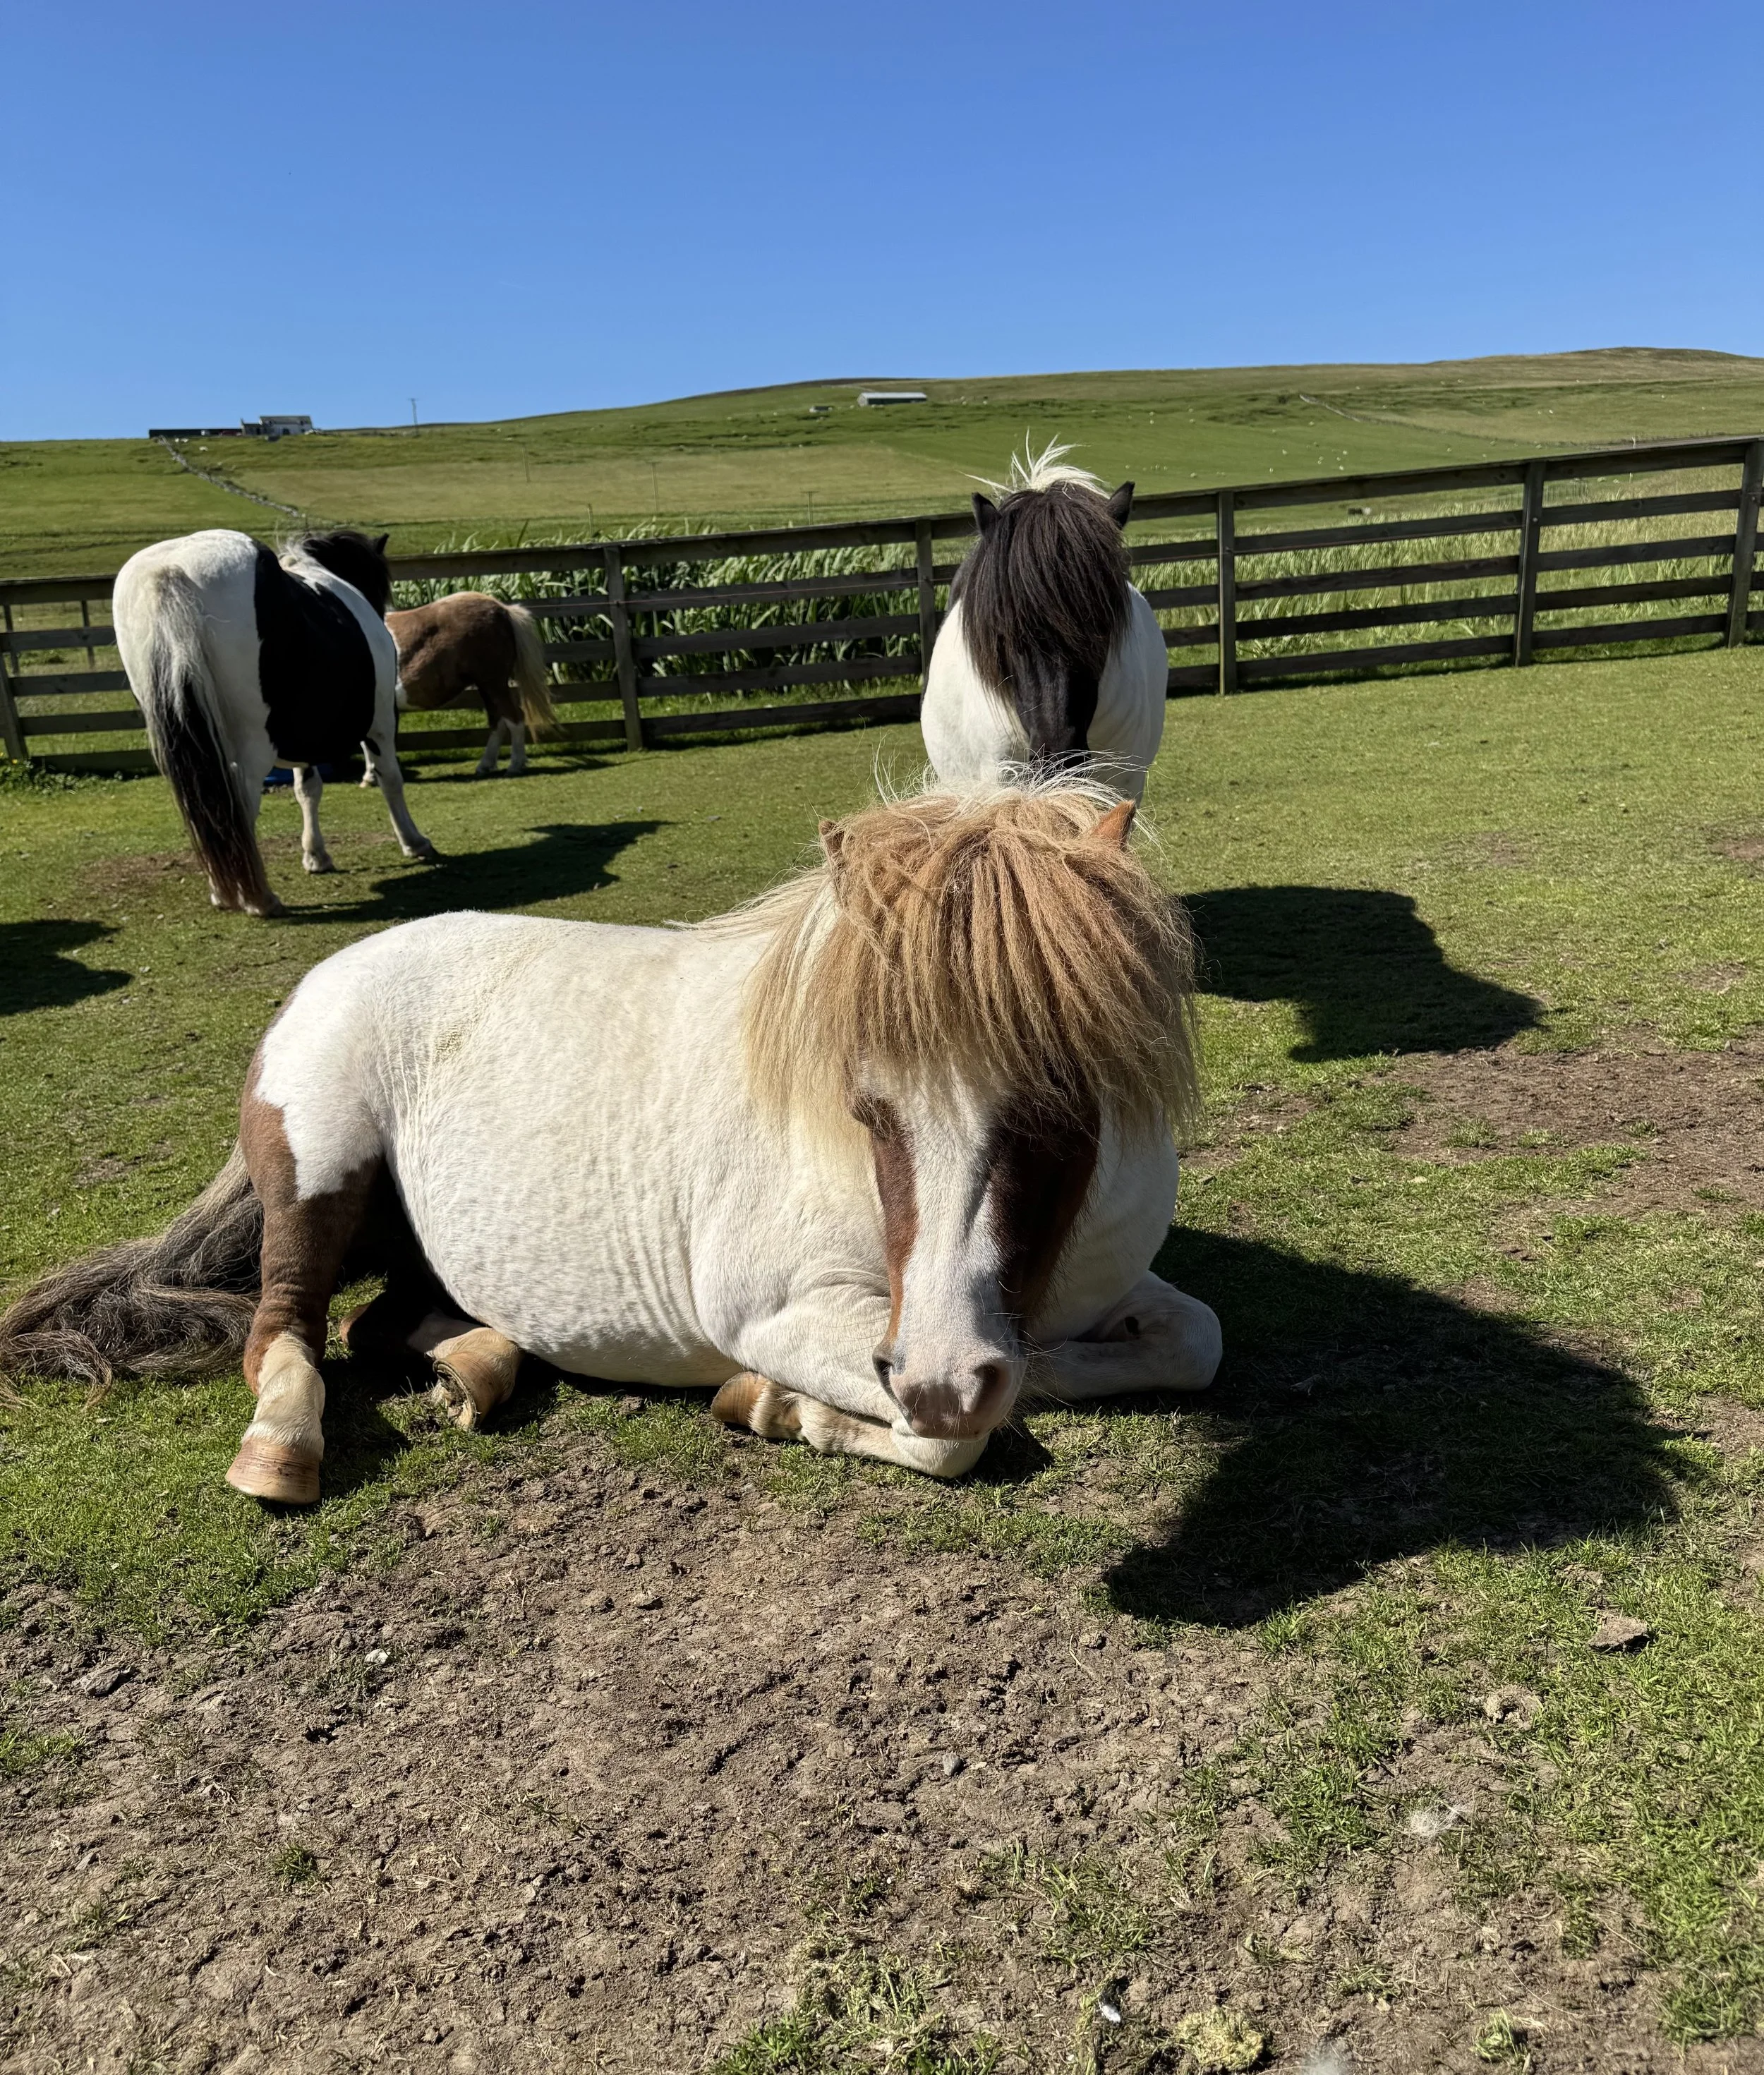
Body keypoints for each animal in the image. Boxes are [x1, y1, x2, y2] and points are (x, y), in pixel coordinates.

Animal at [0, 780, 1222, 1506]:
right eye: (867, 1105)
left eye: (1063, 1097)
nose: (942, 1375)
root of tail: (326, 974)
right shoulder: (783, 1317)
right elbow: (951, 1442)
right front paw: (774, 1405)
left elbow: (1191, 1339)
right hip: (320, 1171)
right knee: (286, 1332)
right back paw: (283, 1446)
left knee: (376, 1320)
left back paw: (478, 1368)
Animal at [112, 527, 437, 918]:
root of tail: (173, 570)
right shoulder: (381, 724)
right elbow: (391, 778)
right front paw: (414, 842)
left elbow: (307, 789)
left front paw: (316, 856)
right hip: (252, 747)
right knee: (239, 804)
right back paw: (258, 898)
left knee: (213, 809)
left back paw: (223, 891)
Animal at [384, 591, 557, 777]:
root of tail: (503, 609)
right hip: (487, 687)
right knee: (498, 721)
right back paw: (486, 765)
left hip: (494, 684)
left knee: (514, 718)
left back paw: (515, 766)